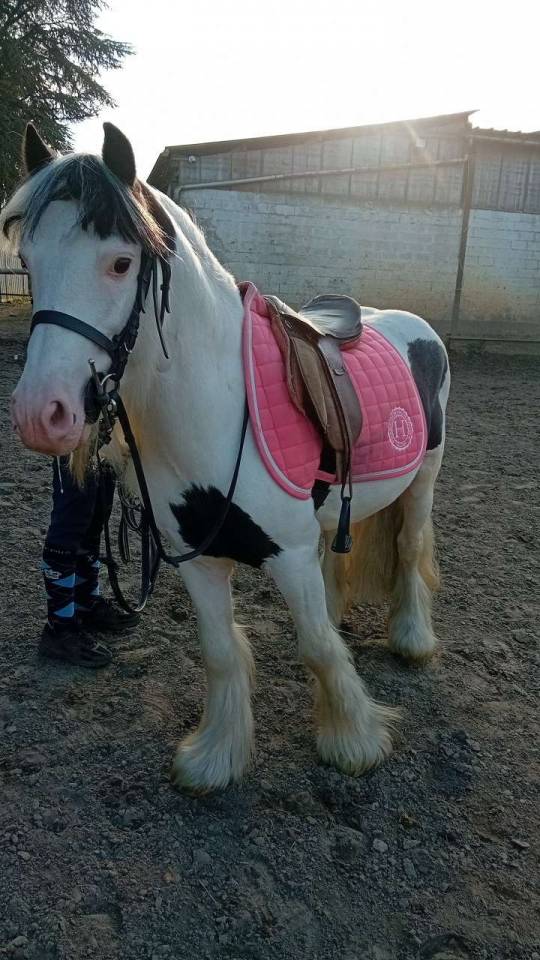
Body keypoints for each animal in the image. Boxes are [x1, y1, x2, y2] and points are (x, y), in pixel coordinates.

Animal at [2, 122, 450, 794]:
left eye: (121, 262)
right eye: (28, 262)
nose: (40, 412)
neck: (217, 403)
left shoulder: (286, 553)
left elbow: (317, 648)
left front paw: (354, 741)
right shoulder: (198, 556)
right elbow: (220, 651)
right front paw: (215, 758)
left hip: (422, 478)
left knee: (408, 545)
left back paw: (413, 638)